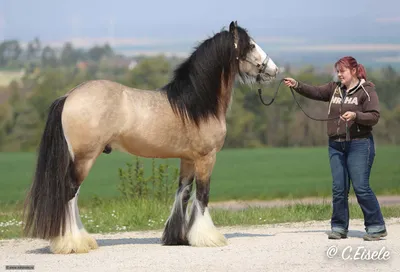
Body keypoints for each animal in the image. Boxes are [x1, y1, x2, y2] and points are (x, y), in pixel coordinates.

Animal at [22, 20, 278, 253]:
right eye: (251, 45)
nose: (274, 70)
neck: (195, 105)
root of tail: (69, 96)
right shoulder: (206, 158)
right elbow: (203, 196)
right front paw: (208, 238)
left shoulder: (188, 159)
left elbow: (183, 194)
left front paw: (178, 237)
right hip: (85, 158)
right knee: (70, 194)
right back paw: (74, 243)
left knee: (74, 196)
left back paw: (82, 240)